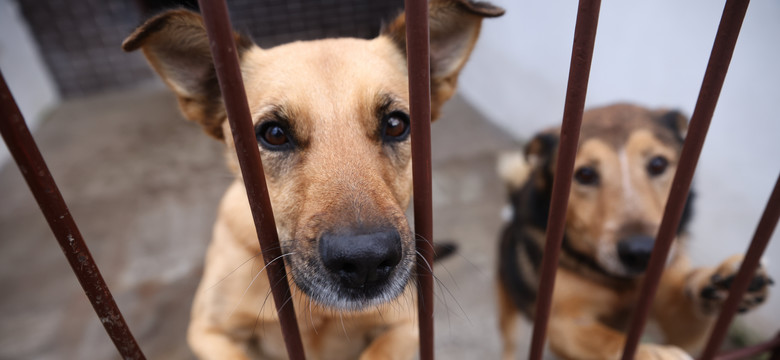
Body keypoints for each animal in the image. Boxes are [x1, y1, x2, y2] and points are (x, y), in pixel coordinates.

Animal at [496, 102, 772, 358]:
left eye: (658, 164)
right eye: (585, 174)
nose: (641, 253)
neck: (621, 282)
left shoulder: (675, 312)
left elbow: (688, 305)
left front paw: (723, 279)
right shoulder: (561, 323)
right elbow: (611, 341)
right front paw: (655, 353)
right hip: (507, 303)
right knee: (509, 342)